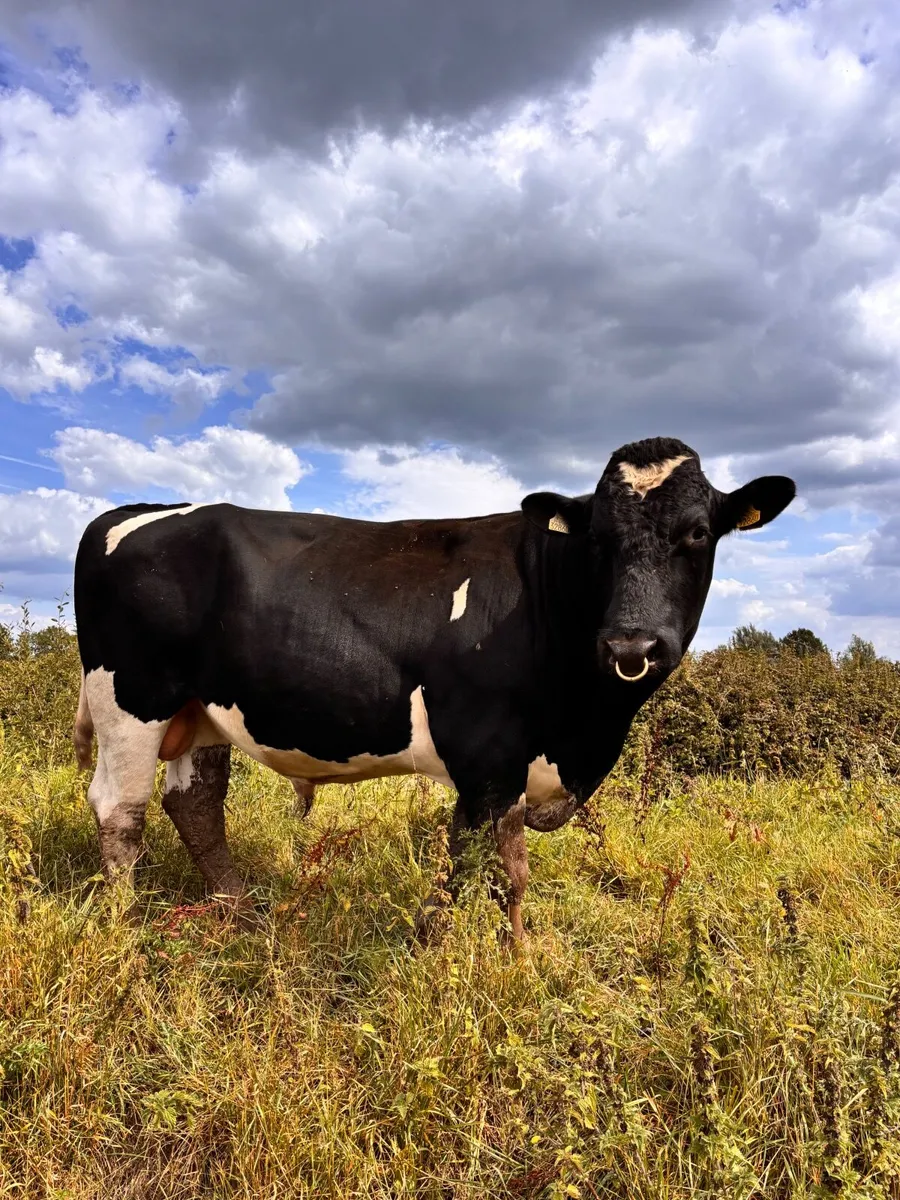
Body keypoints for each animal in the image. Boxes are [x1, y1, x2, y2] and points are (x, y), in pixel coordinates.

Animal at [72, 437, 795, 940]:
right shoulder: (487, 756)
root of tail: (138, 511)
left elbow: (494, 869)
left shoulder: (509, 765)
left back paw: (242, 913)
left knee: (194, 804)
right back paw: (124, 930)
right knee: (121, 811)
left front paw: (496, 950)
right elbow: (483, 870)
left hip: (198, 709)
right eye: (599, 539)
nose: (631, 647)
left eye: (697, 533)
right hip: (133, 698)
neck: (585, 730)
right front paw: (464, 955)